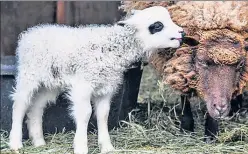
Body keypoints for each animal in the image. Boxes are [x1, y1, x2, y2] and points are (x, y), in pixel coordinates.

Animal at [8, 5, 185, 154]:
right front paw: (81, 147)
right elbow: (86, 113)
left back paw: (39, 142)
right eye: (157, 25)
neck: (112, 48)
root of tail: (32, 32)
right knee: (20, 104)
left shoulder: (106, 88)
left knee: (36, 108)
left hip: (49, 84)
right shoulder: (83, 85)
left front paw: (107, 147)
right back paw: (15, 143)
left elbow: (103, 115)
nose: (182, 32)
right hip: (29, 75)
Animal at [120, 1, 248, 140]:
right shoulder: (177, 60)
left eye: (241, 64)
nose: (221, 109)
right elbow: (184, 93)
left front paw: (211, 134)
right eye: (201, 61)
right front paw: (186, 129)